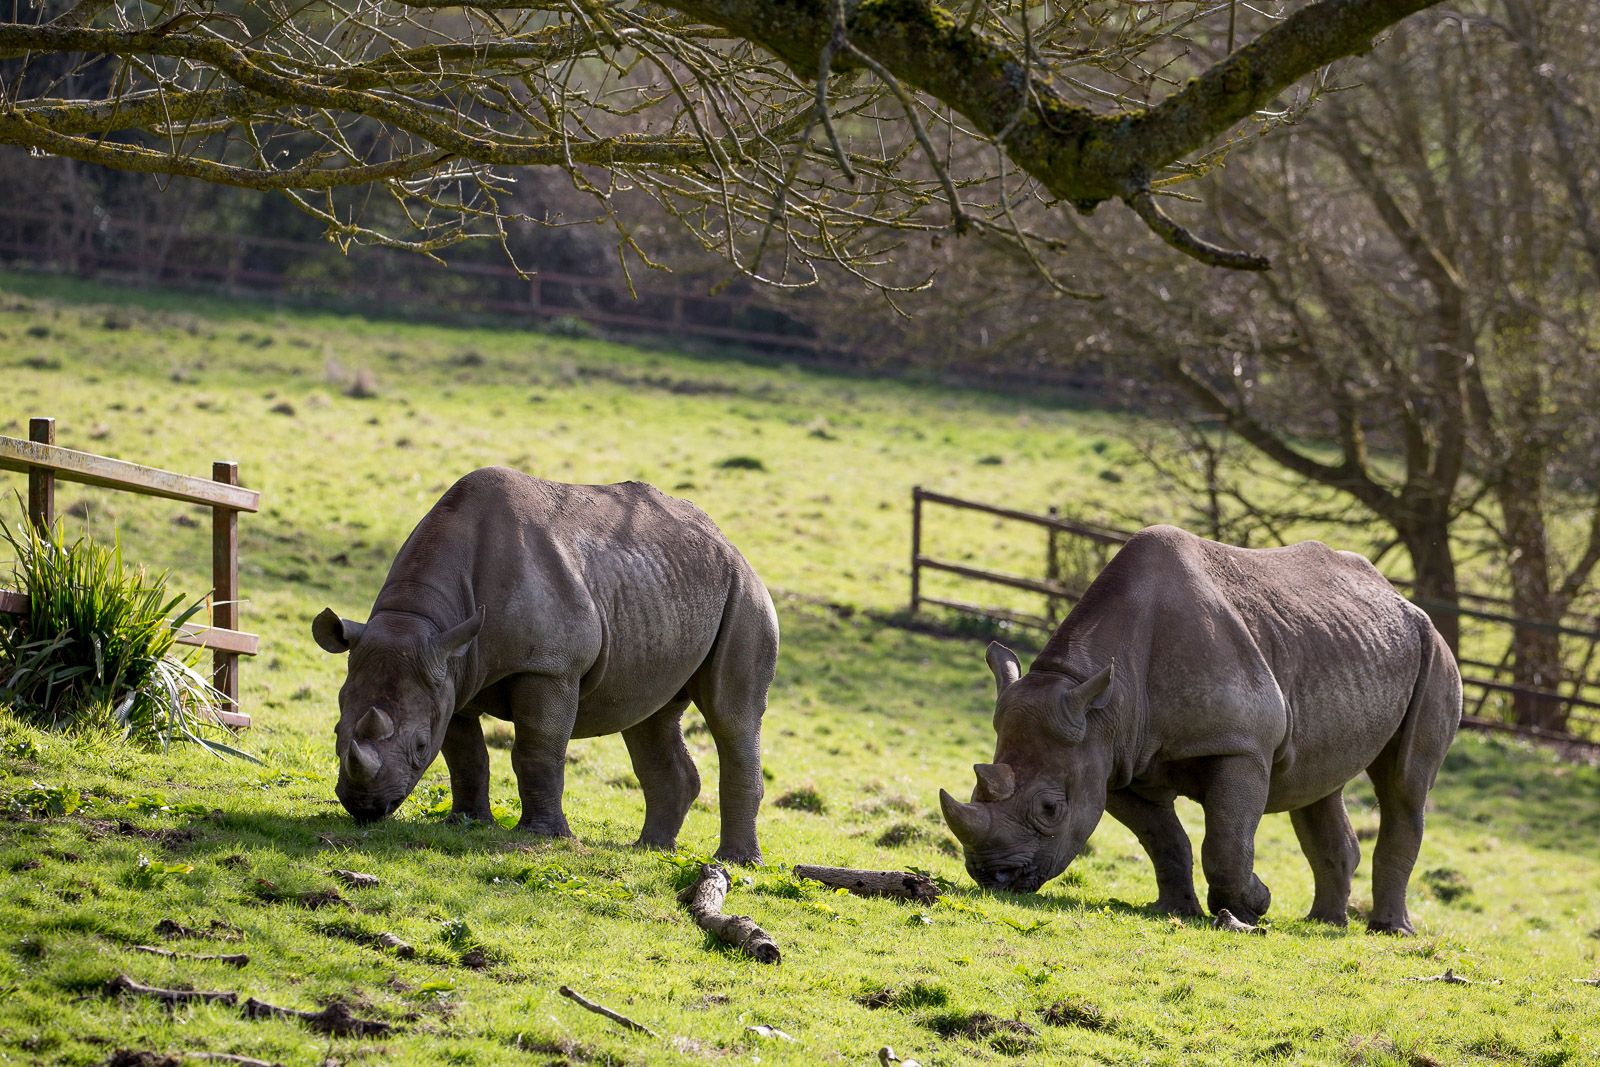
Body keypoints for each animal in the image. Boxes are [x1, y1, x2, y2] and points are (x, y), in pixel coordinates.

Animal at [311, 467, 779, 863]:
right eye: (335, 731)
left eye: (420, 745)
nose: (364, 806)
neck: (421, 619)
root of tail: (729, 543)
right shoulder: (451, 672)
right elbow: (465, 753)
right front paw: (466, 823)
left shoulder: (549, 665)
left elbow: (537, 749)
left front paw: (544, 836)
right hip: (668, 590)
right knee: (650, 716)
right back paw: (650, 850)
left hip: (745, 593)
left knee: (731, 716)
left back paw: (734, 863)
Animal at [939, 525, 1461, 934]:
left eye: (1050, 809)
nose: (991, 877)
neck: (1100, 703)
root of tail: (1401, 598)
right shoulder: (1114, 759)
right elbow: (1165, 840)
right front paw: (1176, 910)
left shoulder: (1241, 745)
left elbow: (1227, 842)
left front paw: (1253, 907)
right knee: (1318, 784)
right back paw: (1325, 923)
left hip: (1434, 649)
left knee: (1404, 786)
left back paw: (1389, 931)